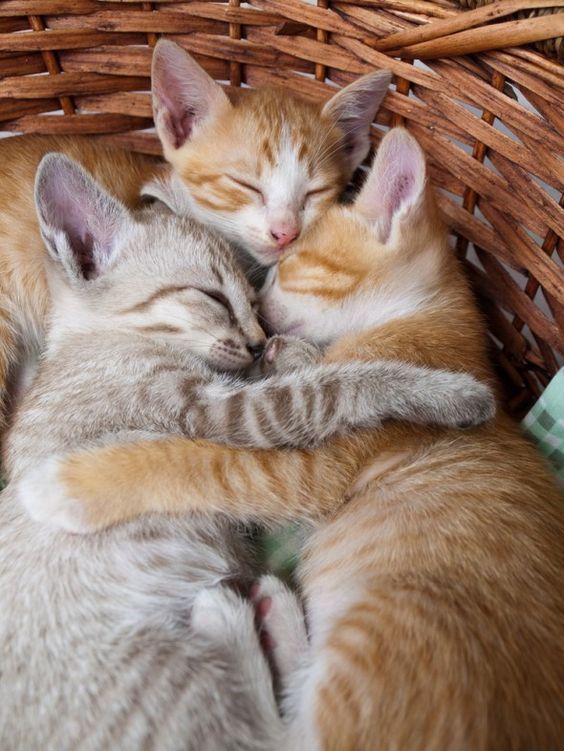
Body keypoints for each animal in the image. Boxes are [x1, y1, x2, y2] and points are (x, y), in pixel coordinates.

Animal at [40, 129, 564, 748]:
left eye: (285, 267)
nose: (261, 323)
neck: (425, 322)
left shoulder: (305, 471)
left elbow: (200, 462)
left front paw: (71, 486)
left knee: (271, 737)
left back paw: (232, 617)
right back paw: (275, 615)